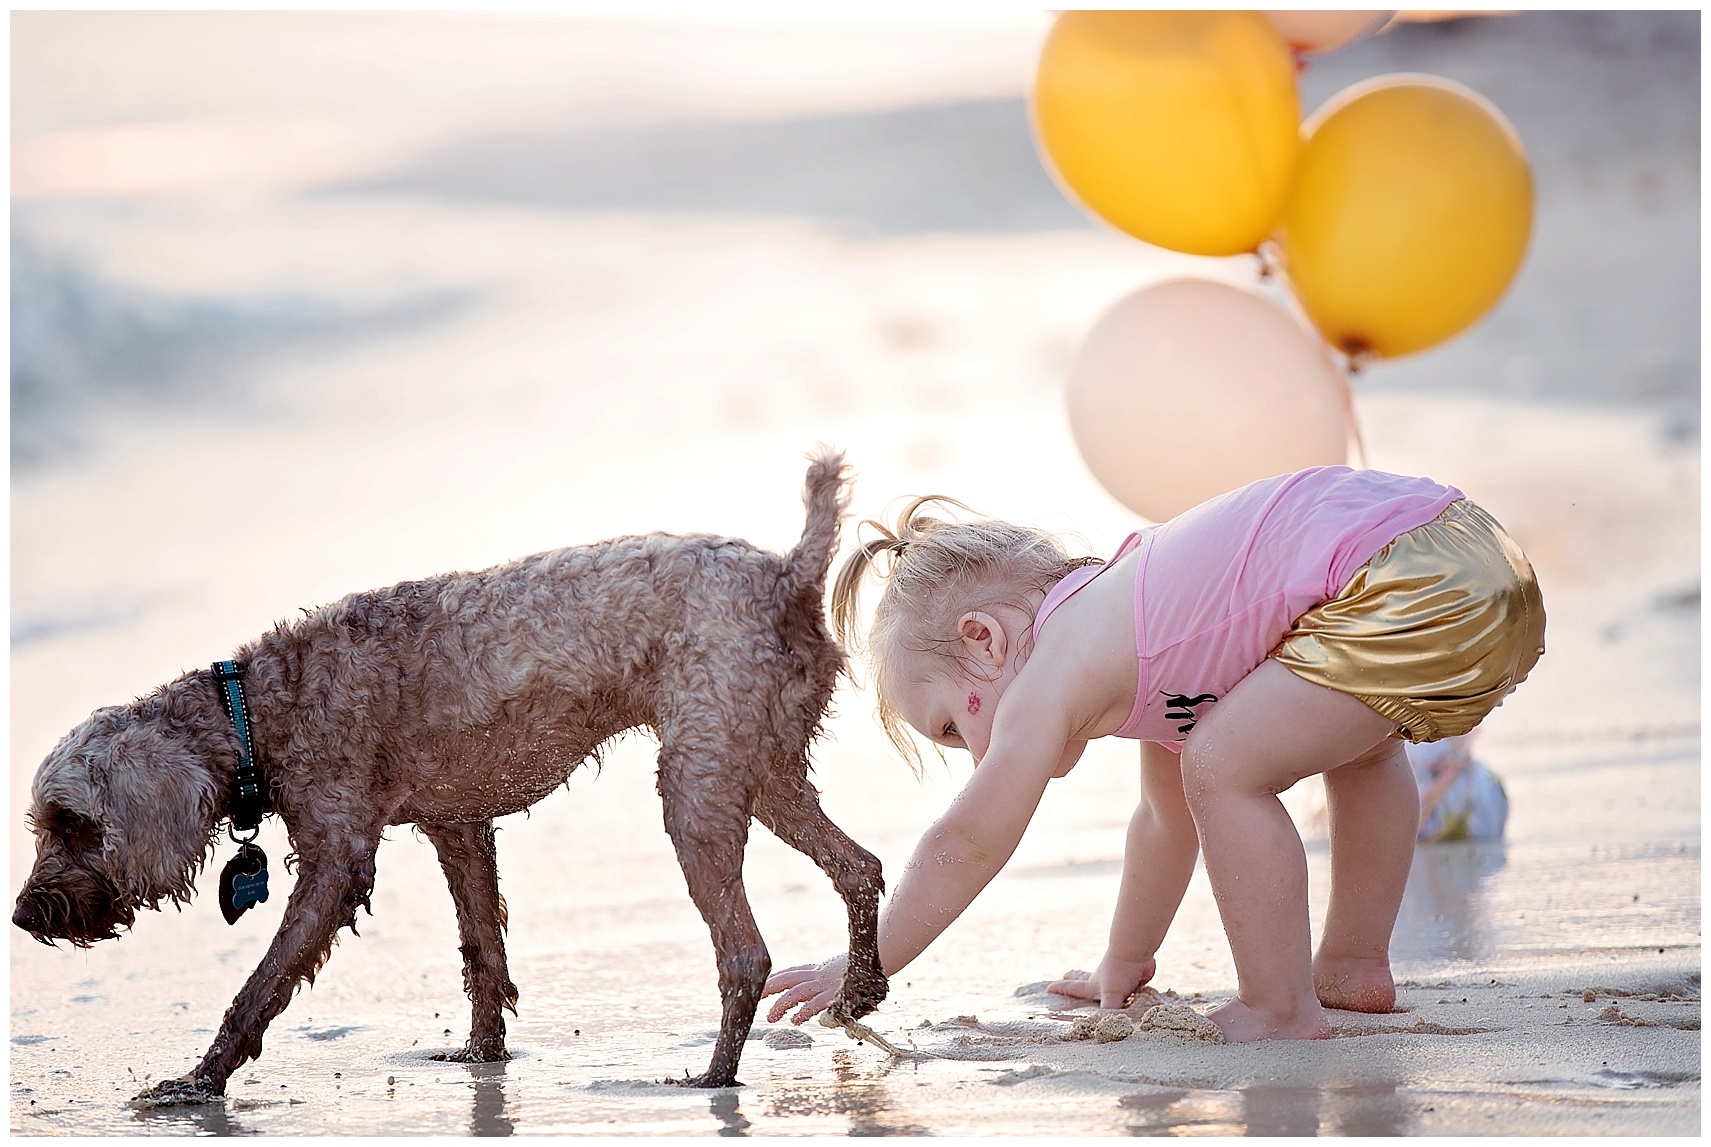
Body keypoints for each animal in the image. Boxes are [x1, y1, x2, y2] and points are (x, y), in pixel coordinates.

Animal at [16, 451, 882, 1102]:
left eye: (73, 823)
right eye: (47, 825)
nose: (25, 915)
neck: (256, 708)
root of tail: (788, 573)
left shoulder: (337, 859)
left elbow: (260, 985)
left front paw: (197, 1082)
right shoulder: (457, 827)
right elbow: (481, 953)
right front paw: (480, 1056)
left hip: (699, 788)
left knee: (746, 953)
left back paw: (711, 1076)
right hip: (759, 770)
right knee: (861, 868)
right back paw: (856, 992)